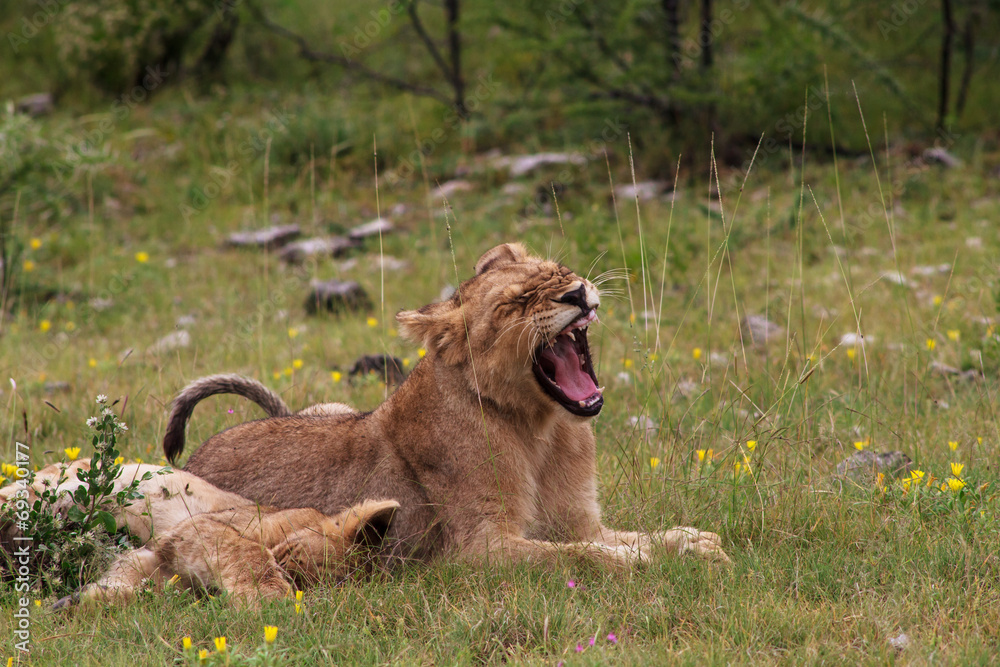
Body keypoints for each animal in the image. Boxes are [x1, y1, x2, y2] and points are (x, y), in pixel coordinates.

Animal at [1, 460, 398, 607]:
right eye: (288, 556)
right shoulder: (197, 528)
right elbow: (248, 553)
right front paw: (271, 597)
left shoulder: (157, 559)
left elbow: (136, 587)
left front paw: (78, 602)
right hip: (50, 486)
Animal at [164, 243, 730, 568]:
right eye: (513, 305)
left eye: (560, 272)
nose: (576, 292)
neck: (542, 428)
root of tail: (197, 456)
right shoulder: (477, 550)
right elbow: (584, 558)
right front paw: (645, 561)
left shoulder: (579, 519)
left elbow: (625, 537)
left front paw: (691, 542)